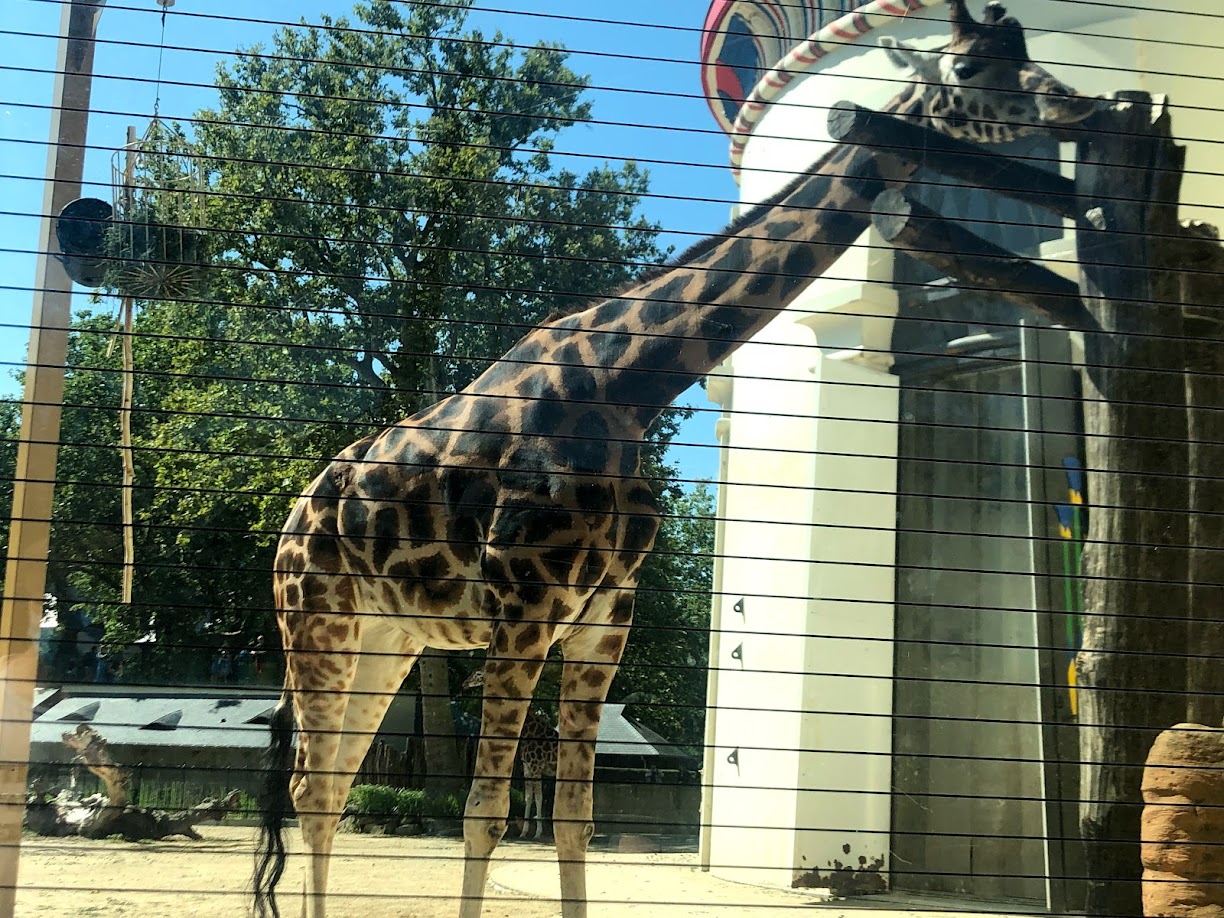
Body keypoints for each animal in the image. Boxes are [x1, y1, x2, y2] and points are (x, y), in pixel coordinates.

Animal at [461, 668, 558, 840]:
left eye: (478, 674)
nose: (464, 683)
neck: (528, 731)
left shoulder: (536, 767)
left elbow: (538, 798)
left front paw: (538, 832)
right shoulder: (527, 768)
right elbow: (529, 797)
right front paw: (524, 831)